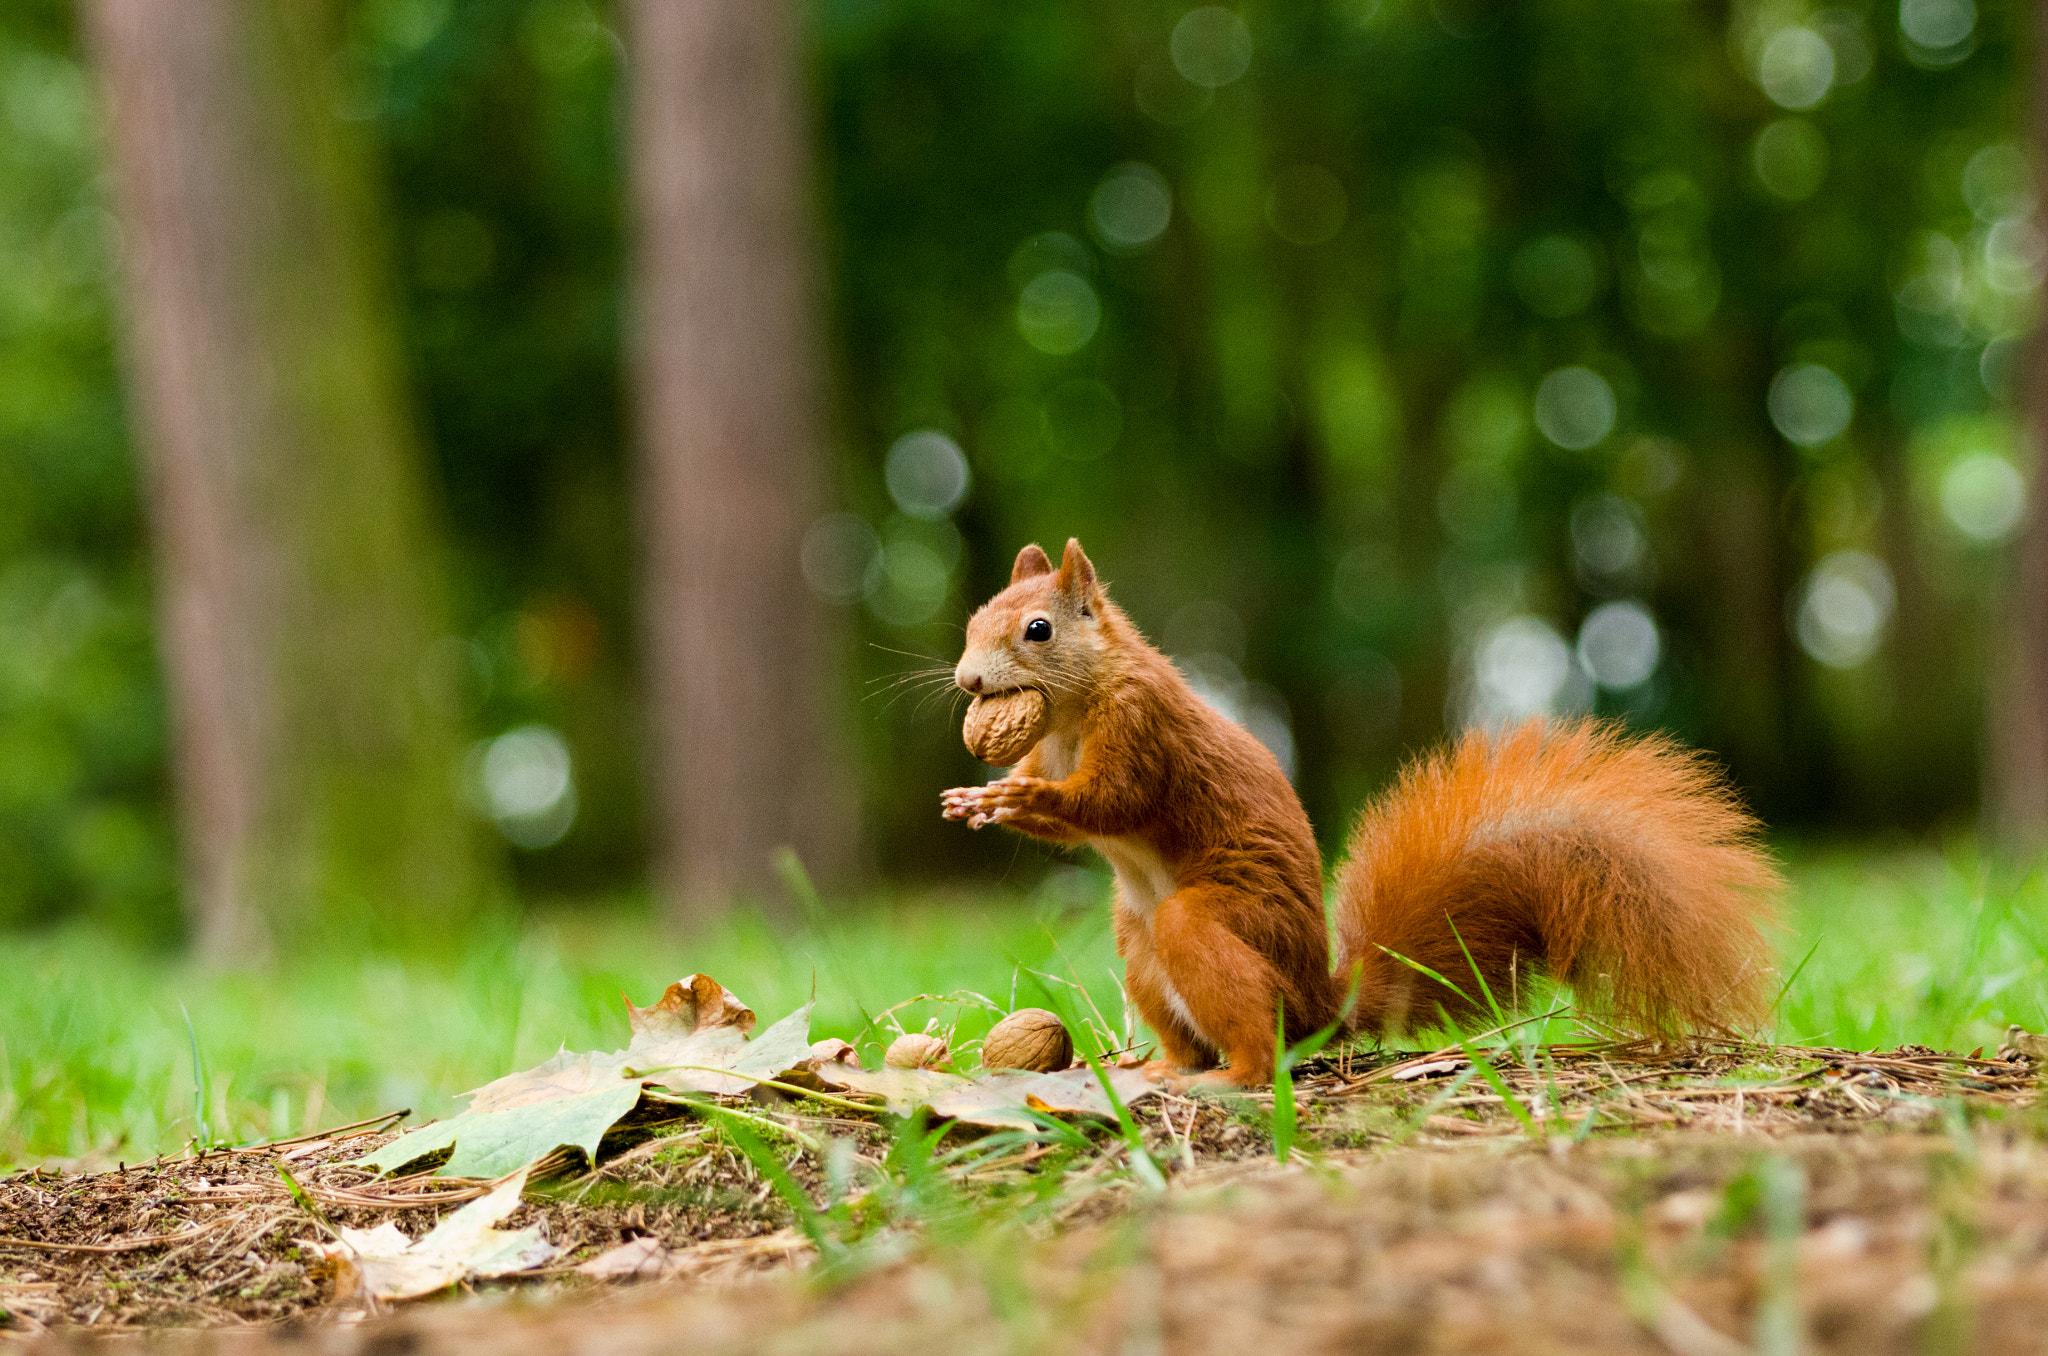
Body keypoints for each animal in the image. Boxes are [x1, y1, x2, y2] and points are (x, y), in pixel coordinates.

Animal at [937, 540, 1777, 1097]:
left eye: (1038, 629)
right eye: (975, 619)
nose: (969, 681)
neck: (1071, 713)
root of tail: (1321, 1003)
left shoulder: (1143, 730)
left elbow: (1111, 801)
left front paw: (1019, 801)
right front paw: (979, 799)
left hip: (1215, 926)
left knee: (1251, 1036)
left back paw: (1227, 1078)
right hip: (1138, 944)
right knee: (1187, 1030)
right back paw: (1158, 1066)